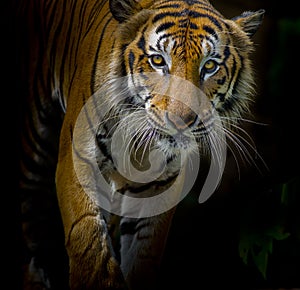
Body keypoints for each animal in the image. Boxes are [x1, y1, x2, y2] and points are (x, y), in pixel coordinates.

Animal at [16, 0, 264, 288]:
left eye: (210, 65)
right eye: (158, 60)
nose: (180, 121)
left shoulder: (161, 184)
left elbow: (143, 253)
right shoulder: (78, 160)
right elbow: (89, 241)